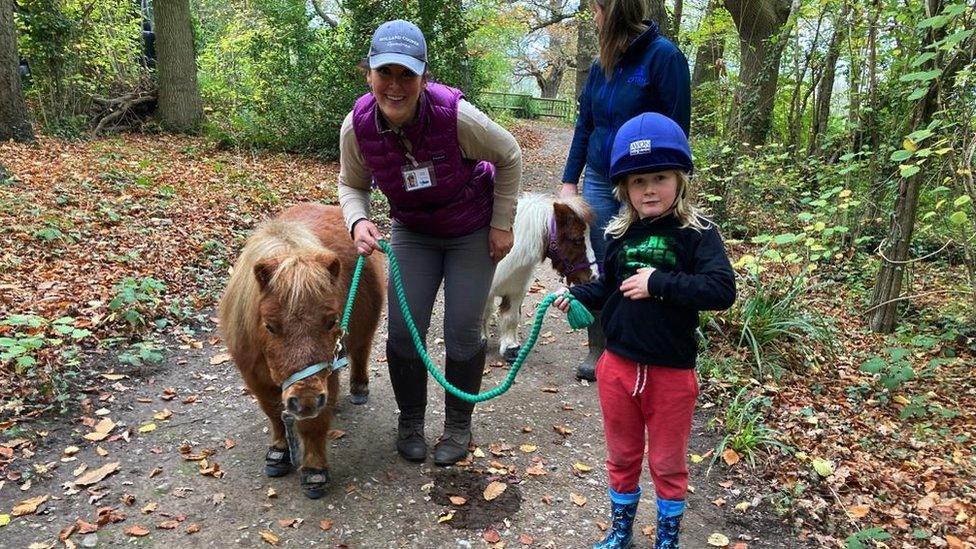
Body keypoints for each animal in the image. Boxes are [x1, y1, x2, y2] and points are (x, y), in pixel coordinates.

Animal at [218, 203, 386, 498]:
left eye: (332, 321)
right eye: (270, 326)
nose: (305, 400)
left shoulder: (327, 372)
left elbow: (313, 425)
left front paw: (314, 471)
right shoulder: (254, 377)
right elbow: (274, 413)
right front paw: (279, 453)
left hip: (364, 332)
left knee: (362, 352)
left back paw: (358, 389)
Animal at [482, 195, 596, 362]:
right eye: (576, 239)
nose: (594, 276)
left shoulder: (516, 290)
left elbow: (511, 317)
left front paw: (510, 348)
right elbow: (483, 313)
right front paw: (482, 340)